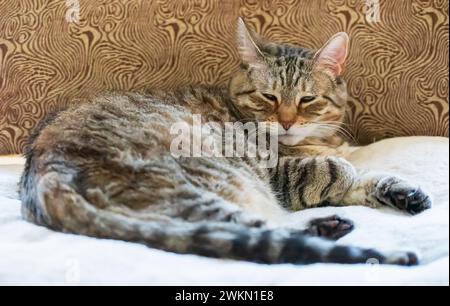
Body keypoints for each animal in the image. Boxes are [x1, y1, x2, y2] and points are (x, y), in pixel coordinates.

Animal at [19, 19, 430, 266]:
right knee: (240, 231)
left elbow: (365, 175)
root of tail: (42, 169)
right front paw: (343, 172)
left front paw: (403, 192)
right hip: (206, 177)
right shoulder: (280, 172)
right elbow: (335, 171)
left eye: (307, 100)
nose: (286, 122)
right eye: (268, 97)